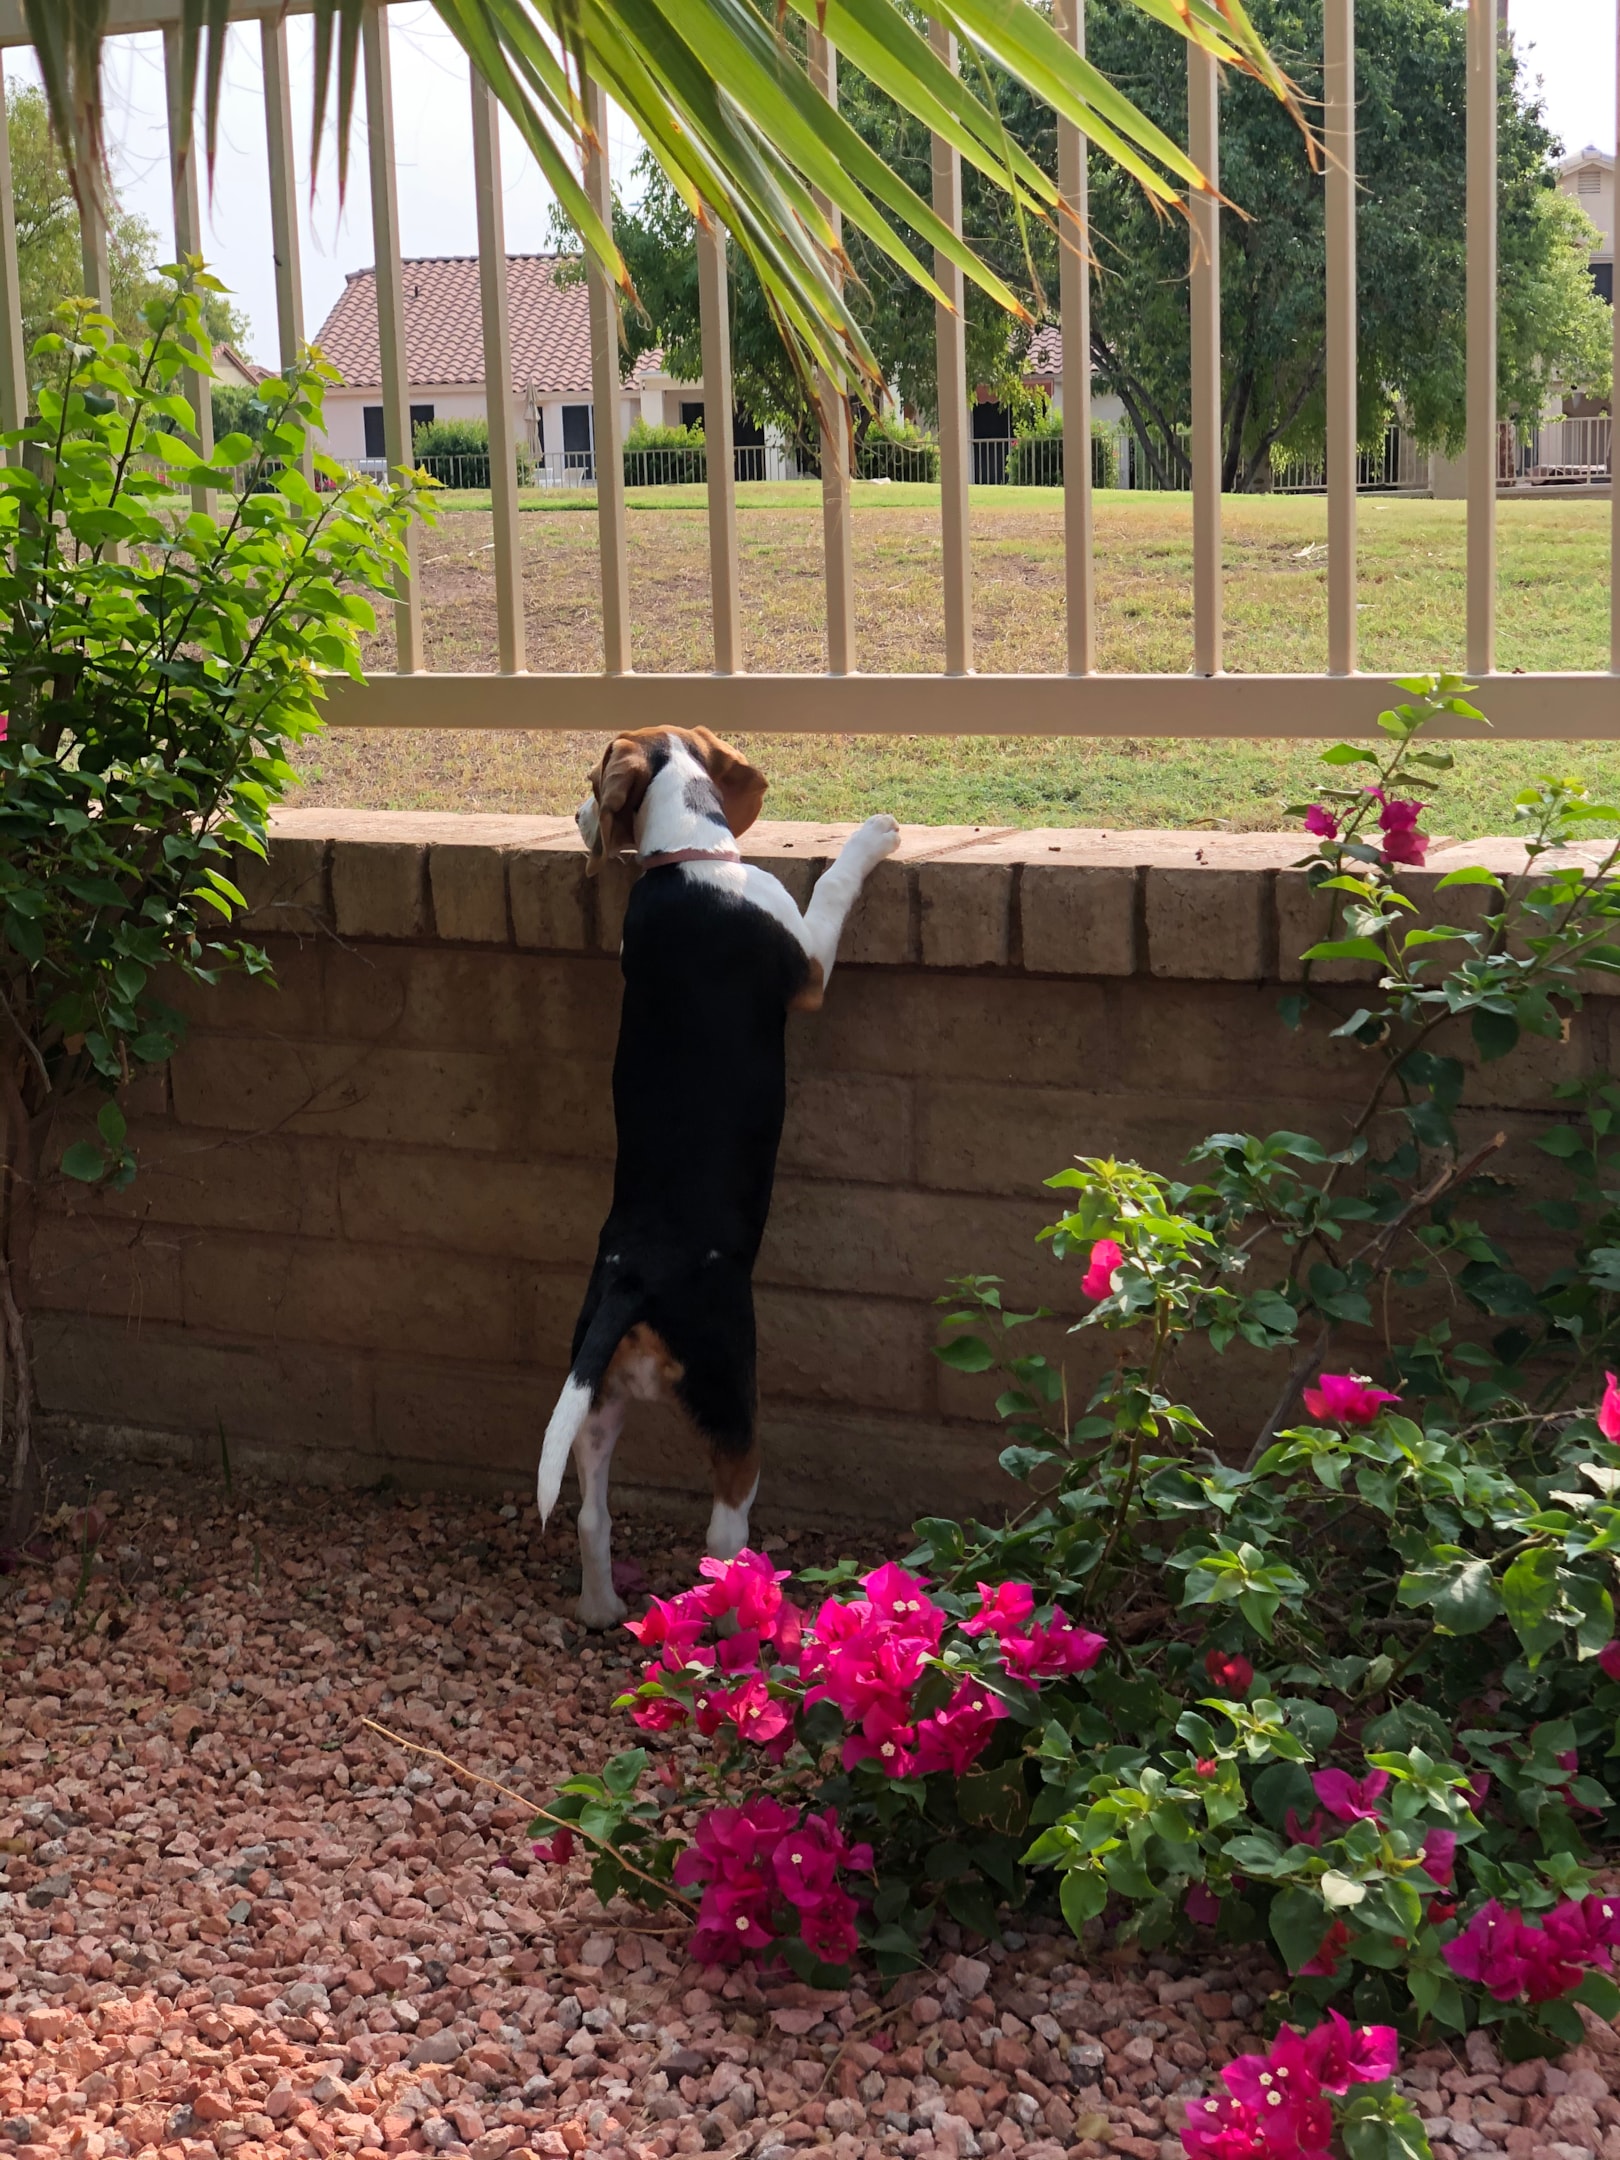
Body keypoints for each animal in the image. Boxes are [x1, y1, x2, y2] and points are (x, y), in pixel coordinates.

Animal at [542, 721, 902, 1624]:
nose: (575, 817)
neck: (683, 859)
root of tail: (634, 1276)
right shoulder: (810, 959)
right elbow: (834, 887)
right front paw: (874, 834)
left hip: (594, 1400)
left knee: (591, 1515)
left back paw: (602, 1608)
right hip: (731, 1394)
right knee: (722, 1530)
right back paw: (750, 1609)